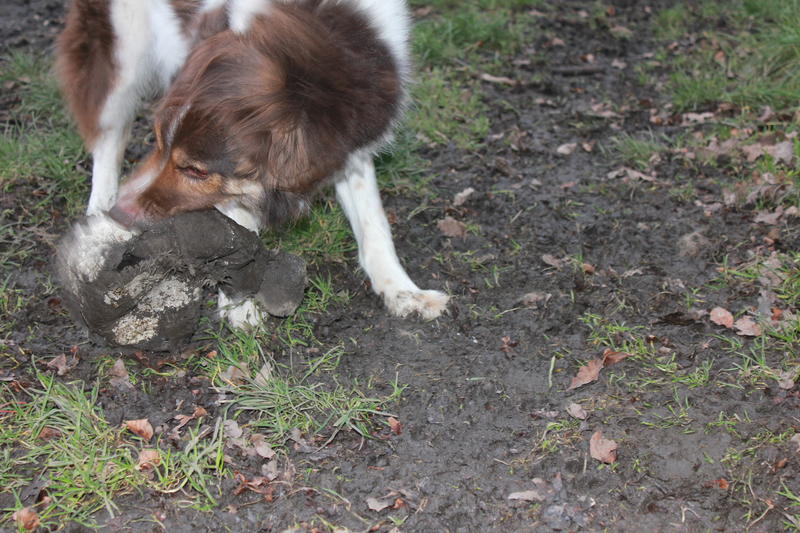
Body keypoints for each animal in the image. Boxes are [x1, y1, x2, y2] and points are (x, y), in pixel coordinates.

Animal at [56, 0, 448, 327]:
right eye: (157, 141)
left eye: (195, 170)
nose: (121, 213)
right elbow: (239, 234)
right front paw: (239, 304)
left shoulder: (350, 141)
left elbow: (373, 224)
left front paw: (402, 291)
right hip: (122, 48)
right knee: (109, 135)